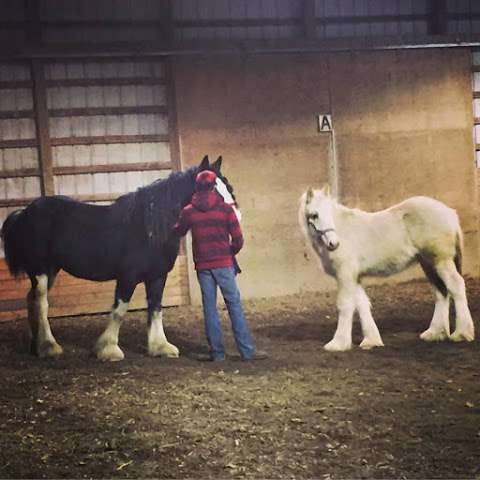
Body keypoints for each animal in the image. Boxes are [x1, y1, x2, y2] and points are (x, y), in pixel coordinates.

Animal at [0, 156, 232, 362]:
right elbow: (120, 310)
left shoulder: (157, 277)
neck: (150, 228)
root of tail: (24, 212)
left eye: (227, 185)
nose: (232, 213)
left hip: (51, 270)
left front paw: (160, 347)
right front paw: (108, 349)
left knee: (31, 299)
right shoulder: (127, 277)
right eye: (210, 187)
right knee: (41, 302)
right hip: (40, 269)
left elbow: (156, 309)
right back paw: (49, 347)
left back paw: (36, 344)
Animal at [298, 186, 474, 350]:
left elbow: (345, 305)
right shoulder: (355, 277)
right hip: (428, 263)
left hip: (441, 261)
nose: (333, 244)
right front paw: (371, 340)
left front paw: (338, 343)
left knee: (456, 286)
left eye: (330, 213)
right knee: (441, 291)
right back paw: (435, 333)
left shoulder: (345, 275)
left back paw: (462, 333)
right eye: (314, 215)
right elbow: (362, 304)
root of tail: (450, 213)